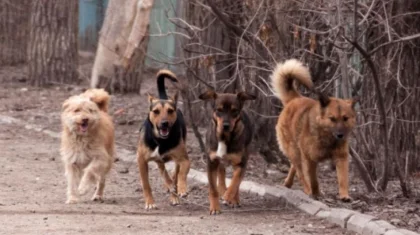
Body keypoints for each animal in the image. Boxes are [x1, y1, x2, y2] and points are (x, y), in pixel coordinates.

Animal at [136, 69, 190, 209]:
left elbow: (181, 174)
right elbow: (146, 184)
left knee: (174, 173)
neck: (161, 140)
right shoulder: (141, 160)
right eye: (156, 111)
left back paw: (173, 192)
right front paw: (150, 202)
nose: (164, 123)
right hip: (157, 159)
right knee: (162, 169)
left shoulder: (184, 159)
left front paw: (181, 189)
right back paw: (169, 185)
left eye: (170, 111)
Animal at [272, 58, 358, 202]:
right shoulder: (309, 159)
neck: (327, 138)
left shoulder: (341, 157)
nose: (340, 135)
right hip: (294, 151)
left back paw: (288, 183)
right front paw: (315, 192)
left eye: (345, 118)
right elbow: (313, 179)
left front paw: (344, 195)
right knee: (300, 172)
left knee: (294, 167)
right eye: (332, 119)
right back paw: (307, 189)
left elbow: (343, 178)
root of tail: (295, 99)